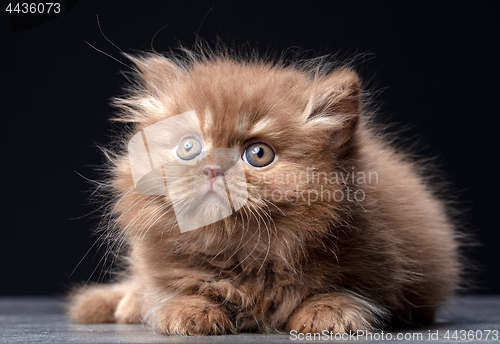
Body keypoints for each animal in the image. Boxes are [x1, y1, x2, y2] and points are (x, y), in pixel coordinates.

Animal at [68, 49, 462, 334]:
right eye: (189, 147)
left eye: (258, 154)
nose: (212, 169)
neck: (246, 255)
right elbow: (173, 289)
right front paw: (188, 310)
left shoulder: (383, 258)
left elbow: (347, 291)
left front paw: (328, 313)